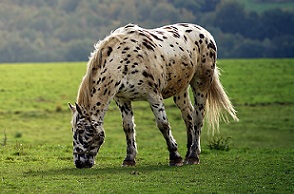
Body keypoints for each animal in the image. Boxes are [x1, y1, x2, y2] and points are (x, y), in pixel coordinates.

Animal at [68, 22, 238, 168]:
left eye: (83, 131)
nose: (79, 163)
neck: (123, 61)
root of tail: (205, 33)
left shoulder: (153, 96)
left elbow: (163, 125)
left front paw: (175, 157)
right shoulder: (122, 100)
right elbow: (128, 127)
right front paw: (129, 159)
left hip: (201, 83)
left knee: (198, 117)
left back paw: (193, 156)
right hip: (180, 89)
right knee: (188, 115)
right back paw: (188, 151)